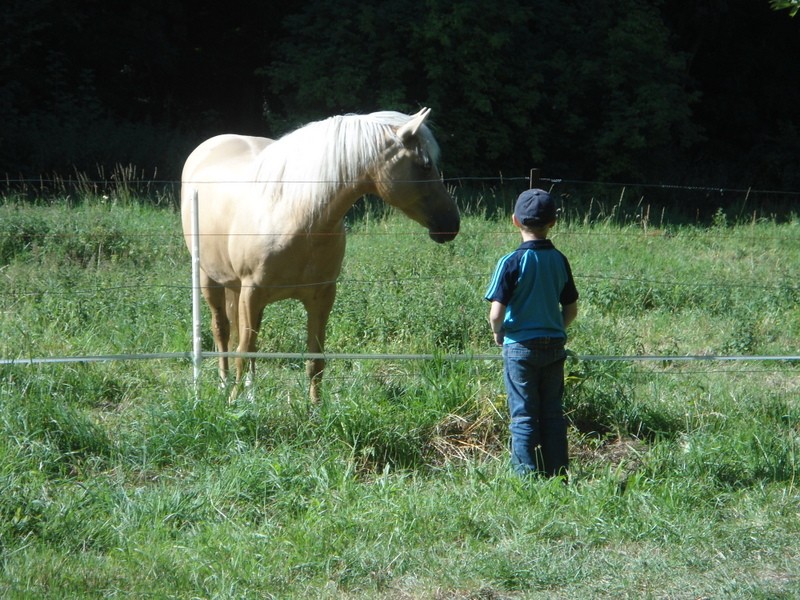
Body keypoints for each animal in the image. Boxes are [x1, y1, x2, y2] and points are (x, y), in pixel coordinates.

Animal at [179, 108, 460, 404]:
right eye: (425, 165)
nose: (452, 224)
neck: (295, 214)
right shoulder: (251, 293)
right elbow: (244, 353)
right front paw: (234, 403)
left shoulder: (321, 296)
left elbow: (315, 360)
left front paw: (315, 408)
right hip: (210, 280)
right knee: (221, 330)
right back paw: (224, 386)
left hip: (238, 290)